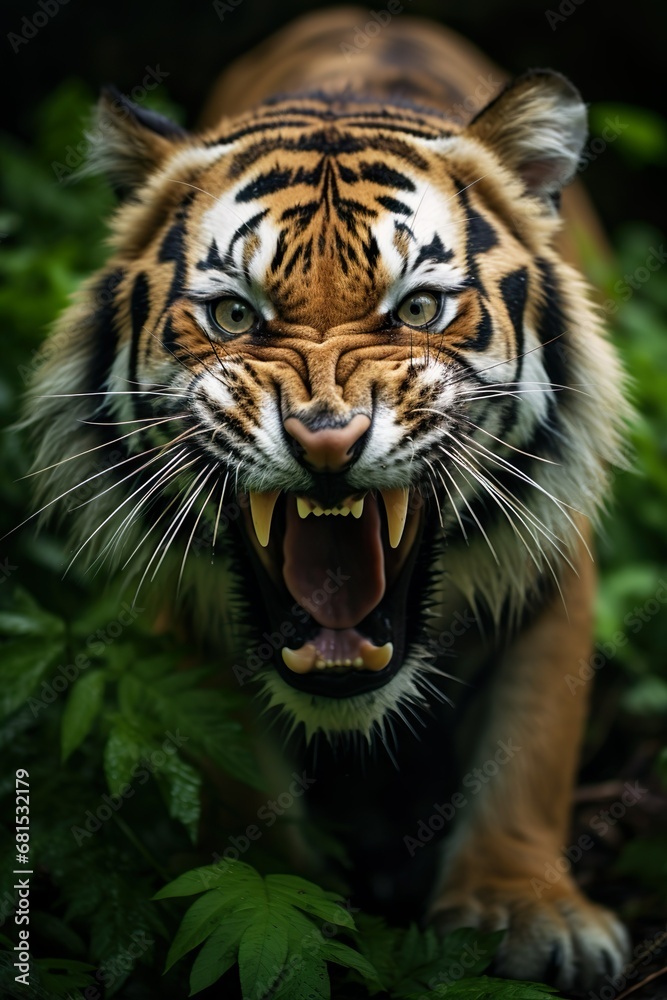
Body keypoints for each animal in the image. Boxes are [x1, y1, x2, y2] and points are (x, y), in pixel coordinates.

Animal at [23, 6, 631, 990]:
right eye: (235, 316)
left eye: (417, 309)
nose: (326, 439)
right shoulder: (193, 609)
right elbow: (238, 783)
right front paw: (271, 901)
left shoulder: (551, 557)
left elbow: (529, 749)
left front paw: (525, 914)